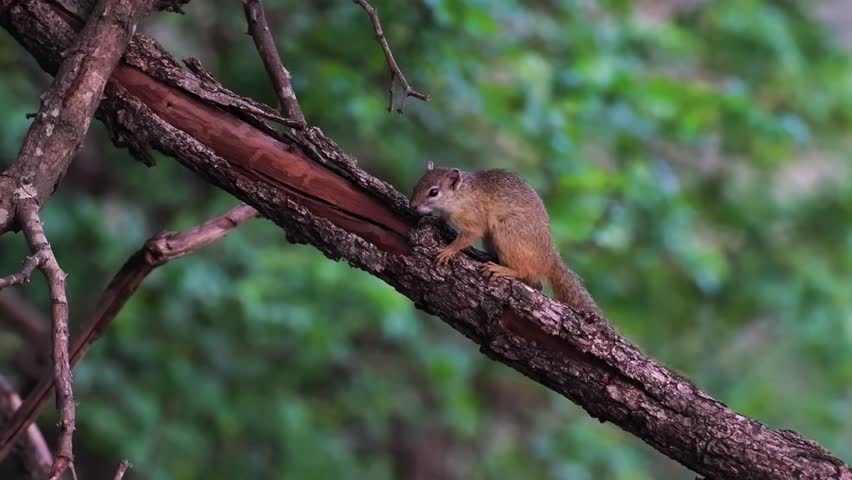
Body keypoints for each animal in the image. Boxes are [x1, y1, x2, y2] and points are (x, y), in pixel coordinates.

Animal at [410, 162, 599, 313]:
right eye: (416, 185)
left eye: (434, 192)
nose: (413, 206)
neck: (460, 195)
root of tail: (548, 259)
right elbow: (441, 220)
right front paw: (432, 220)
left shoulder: (473, 218)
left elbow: (469, 236)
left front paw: (448, 251)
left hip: (507, 234)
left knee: (525, 272)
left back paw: (501, 269)